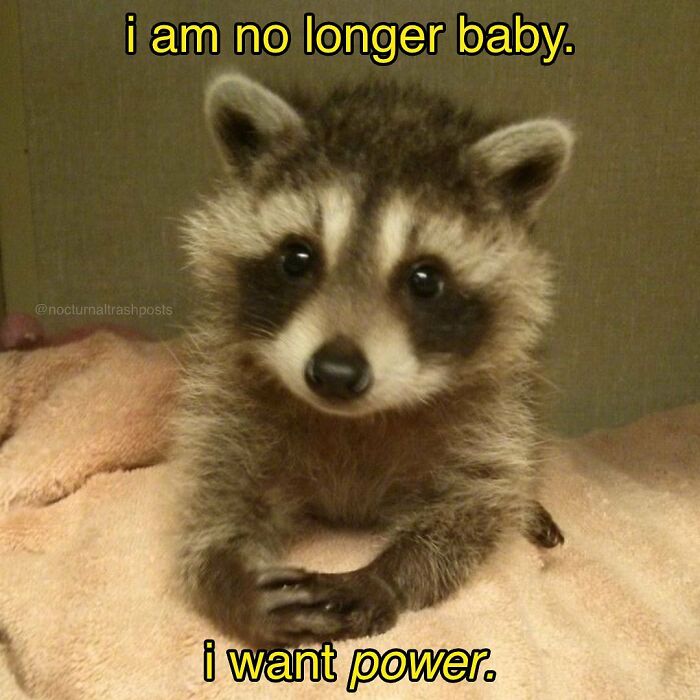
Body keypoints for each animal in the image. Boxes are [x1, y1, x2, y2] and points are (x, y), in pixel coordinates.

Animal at [172, 74, 571, 646]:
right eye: (297, 258)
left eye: (425, 279)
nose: (336, 374)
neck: (354, 419)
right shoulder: (227, 394)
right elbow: (217, 492)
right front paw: (228, 573)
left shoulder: (494, 412)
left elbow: (474, 506)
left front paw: (389, 575)